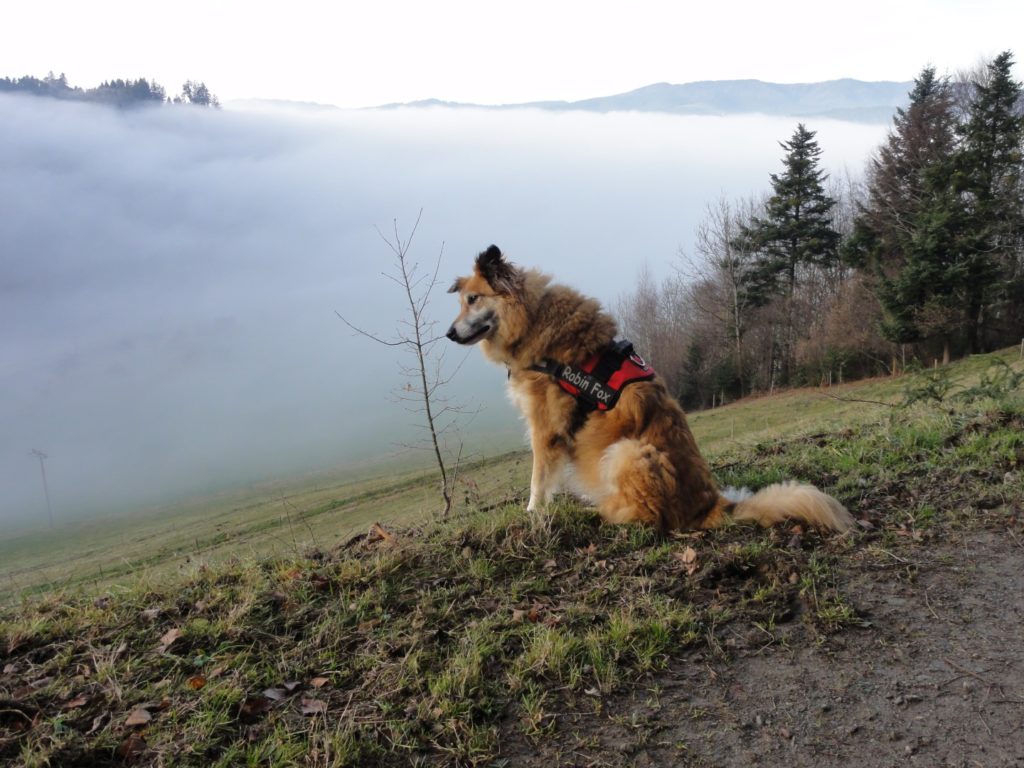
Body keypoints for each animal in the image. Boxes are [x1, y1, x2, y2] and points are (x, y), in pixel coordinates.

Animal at [448, 247, 856, 536]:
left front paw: (533, 514)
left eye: (474, 299)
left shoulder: (546, 428)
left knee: (648, 516)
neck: (532, 320)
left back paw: (601, 510)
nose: (449, 334)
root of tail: (711, 506)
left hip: (628, 451)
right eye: (462, 300)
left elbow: (538, 480)